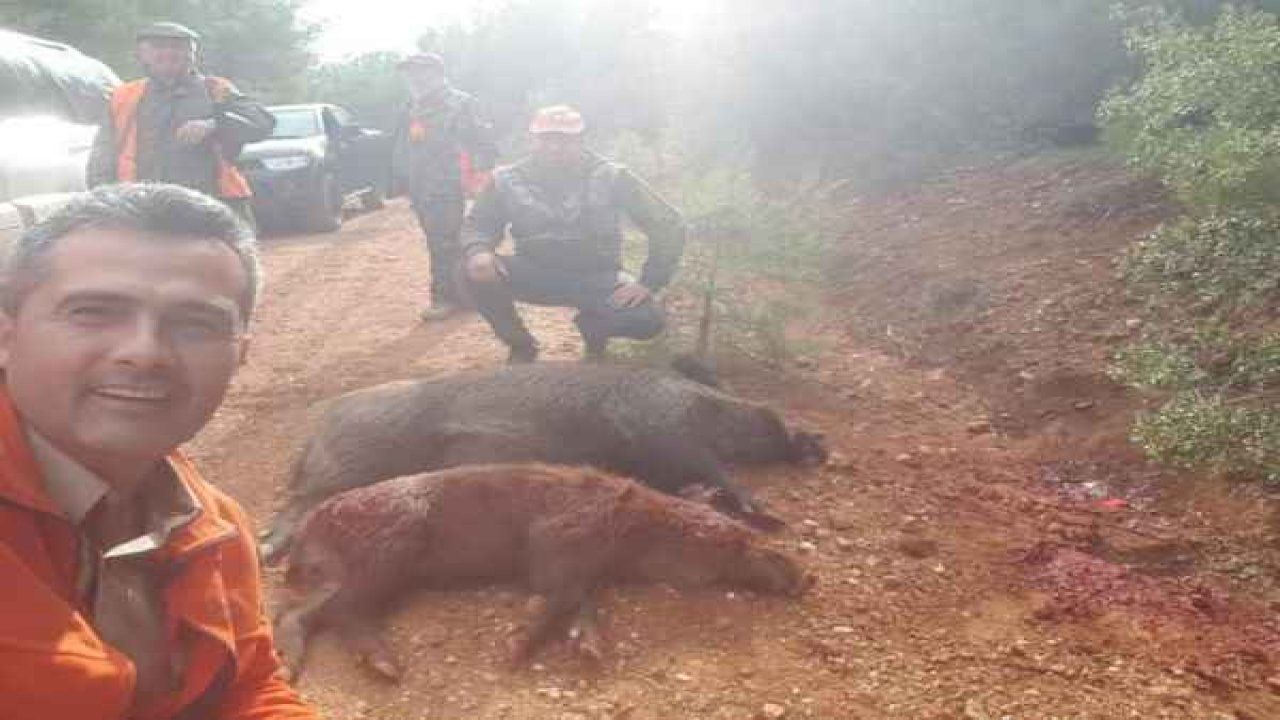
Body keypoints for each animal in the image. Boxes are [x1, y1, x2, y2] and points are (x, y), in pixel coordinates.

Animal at [260, 362, 827, 563]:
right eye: (724, 398)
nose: (811, 439)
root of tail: (313, 433)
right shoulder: (660, 427)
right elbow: (715, 470)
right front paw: (767, 513)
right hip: (350, 461)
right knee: (297, 505)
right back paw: (268, 551)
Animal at [273, 463, 813, 680]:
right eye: (743, 543)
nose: (809, 577)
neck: (629, 535)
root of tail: (313, 523)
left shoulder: (578, 568)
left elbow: (582, 602)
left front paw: (590, 653)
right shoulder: (553, 546)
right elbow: (560, 599)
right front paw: (513, 656)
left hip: (359, 569)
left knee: (301, 611)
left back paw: (295, 668)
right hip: (390, 551)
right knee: (339, 610)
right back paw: (386, 670)